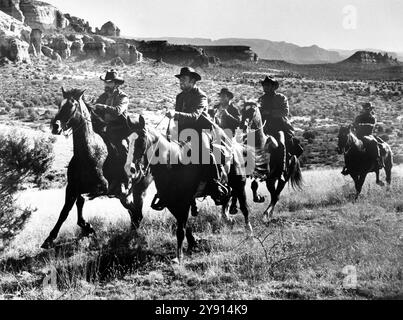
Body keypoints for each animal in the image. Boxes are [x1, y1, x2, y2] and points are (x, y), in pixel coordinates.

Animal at [41, 89, 153, 249]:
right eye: (59, 105)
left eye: (72, 105)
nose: (55, 127)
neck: (89, 154)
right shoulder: (72, 188)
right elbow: (65, 211)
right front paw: (51, 238)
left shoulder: (101, 189)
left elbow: (81, 200)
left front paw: (87, 227)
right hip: (125, 193)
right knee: (133, 210)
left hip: (140, 188)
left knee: (137, 209)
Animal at [128, 115, 252, 262]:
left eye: (141, 140)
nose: (132, 169)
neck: (173, 165)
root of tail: (235, 148)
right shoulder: (171, 202)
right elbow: (183, 226)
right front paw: (191, 244)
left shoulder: (185, 202)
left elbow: (180, 229)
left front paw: (179, 257)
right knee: (226, 196)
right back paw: (228, 219)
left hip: (240, 184)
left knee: (244, 207)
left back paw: (249, 232)